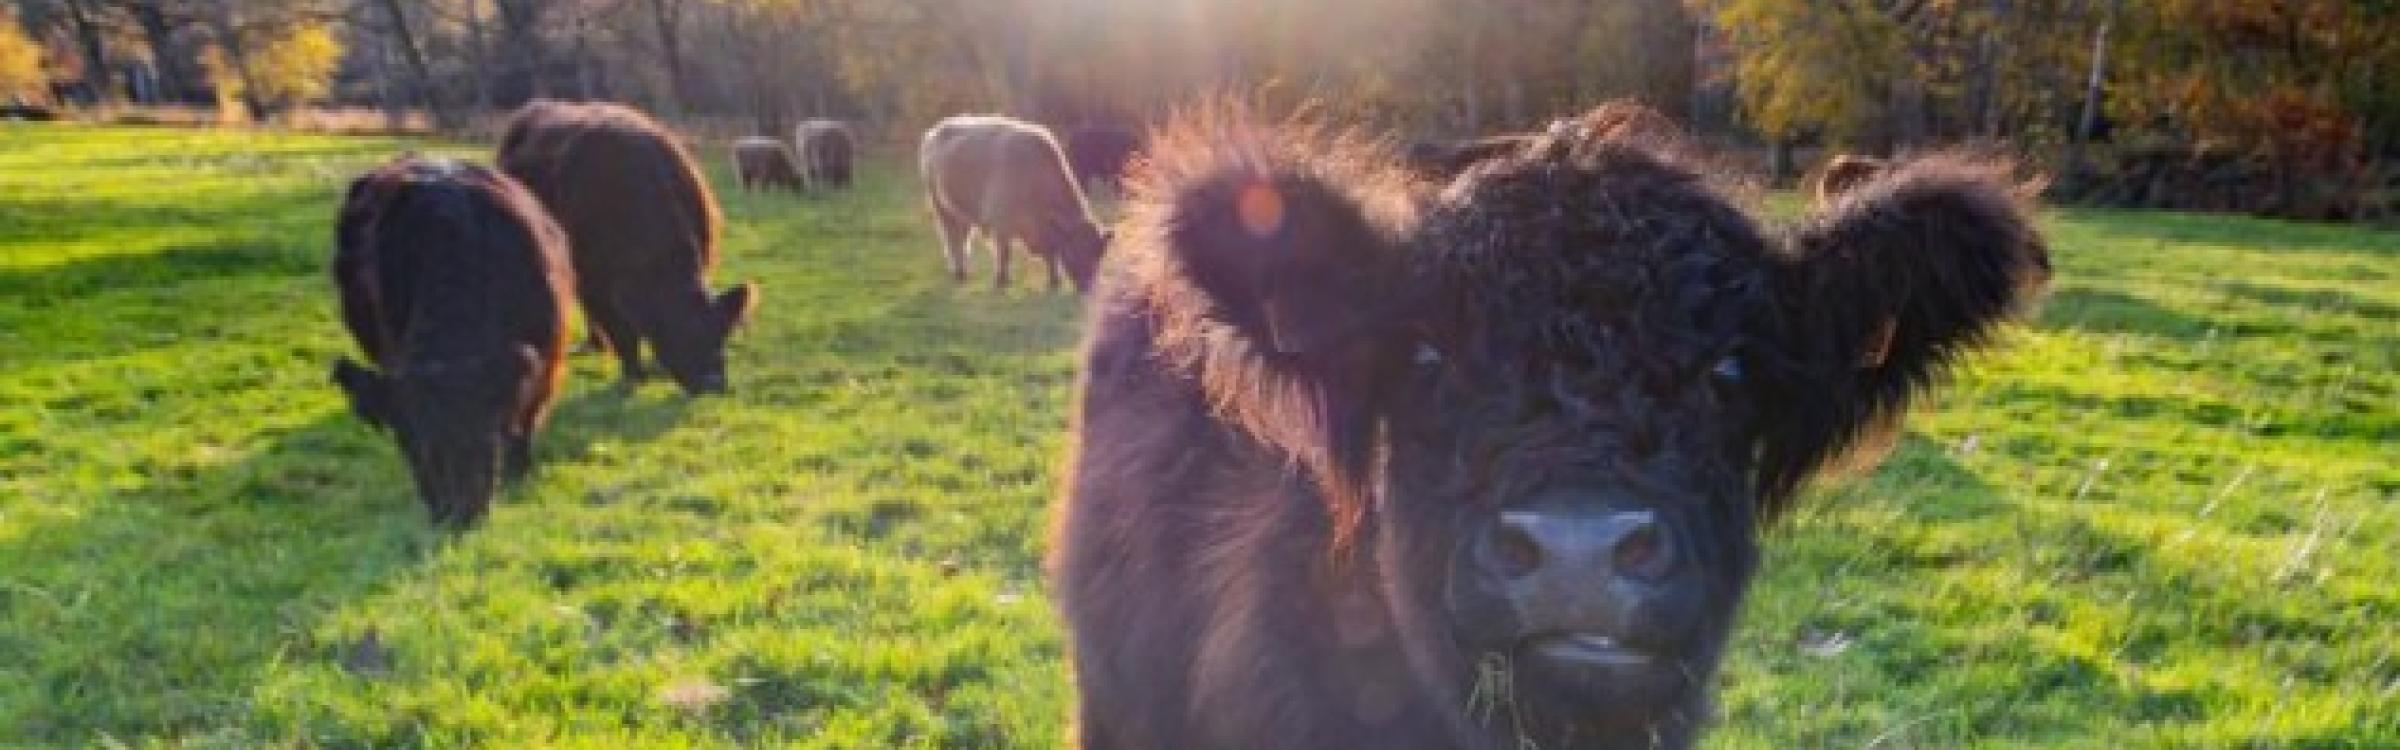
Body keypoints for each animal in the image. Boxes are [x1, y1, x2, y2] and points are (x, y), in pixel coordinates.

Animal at [329, 156, 573, 525]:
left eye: (482, 433)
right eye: (410, 446)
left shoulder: (546, 361)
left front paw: (519, 475)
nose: (458, 515)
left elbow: (524, 423)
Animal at [496, 100, 758, 395]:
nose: (714, 385)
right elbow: (622, 331)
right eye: (680, 331)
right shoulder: (595, 280)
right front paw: (634, 375)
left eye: (722, 332)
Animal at [918, 114, 1110, 293]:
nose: (1087, 288)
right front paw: (1001, 280)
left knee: (962, 238)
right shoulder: (1001, 226)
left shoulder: (1044, 232)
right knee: (951, 239)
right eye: (1073, 253)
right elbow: (1004, 254)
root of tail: (935, 131)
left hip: (962, 214)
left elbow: (1050, 255)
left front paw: (1054, 281)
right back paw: (959, 273)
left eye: (1099, 256)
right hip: (941, 208)